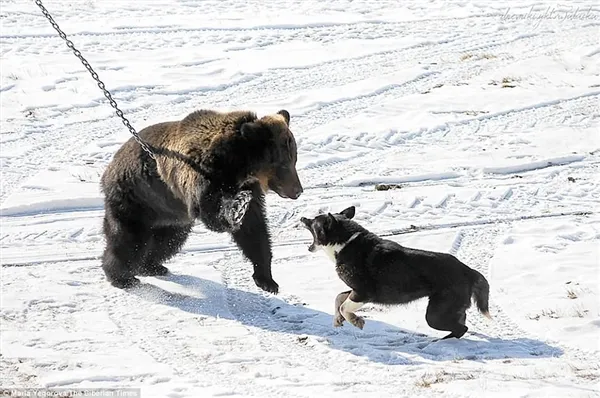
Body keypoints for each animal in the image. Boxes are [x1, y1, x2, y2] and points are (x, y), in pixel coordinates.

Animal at [101, 109, 304, 292]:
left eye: (294, 159)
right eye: (283, 164)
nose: (298, 191)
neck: (240, 165)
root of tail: (108, 169)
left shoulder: (250, 188)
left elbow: (254, 230)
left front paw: (267, 280)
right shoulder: (204, 177)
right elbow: (213, 214)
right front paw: (236, 209)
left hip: (169, 215)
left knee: (167, 241)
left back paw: (152, 266)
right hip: (138, 199)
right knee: (128, 241)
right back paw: (122, 277)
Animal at [300, 205, 492, 338]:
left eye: (314, 221)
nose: (302, 217)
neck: (346, 242)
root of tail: (468, 270)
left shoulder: (363, 292)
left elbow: (343, 305)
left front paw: (356, 321)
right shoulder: (355, 290)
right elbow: (339, 298)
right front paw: (338, 319)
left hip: (435, 315)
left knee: (461, 328)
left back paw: (440, 341)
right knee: (462, 320)